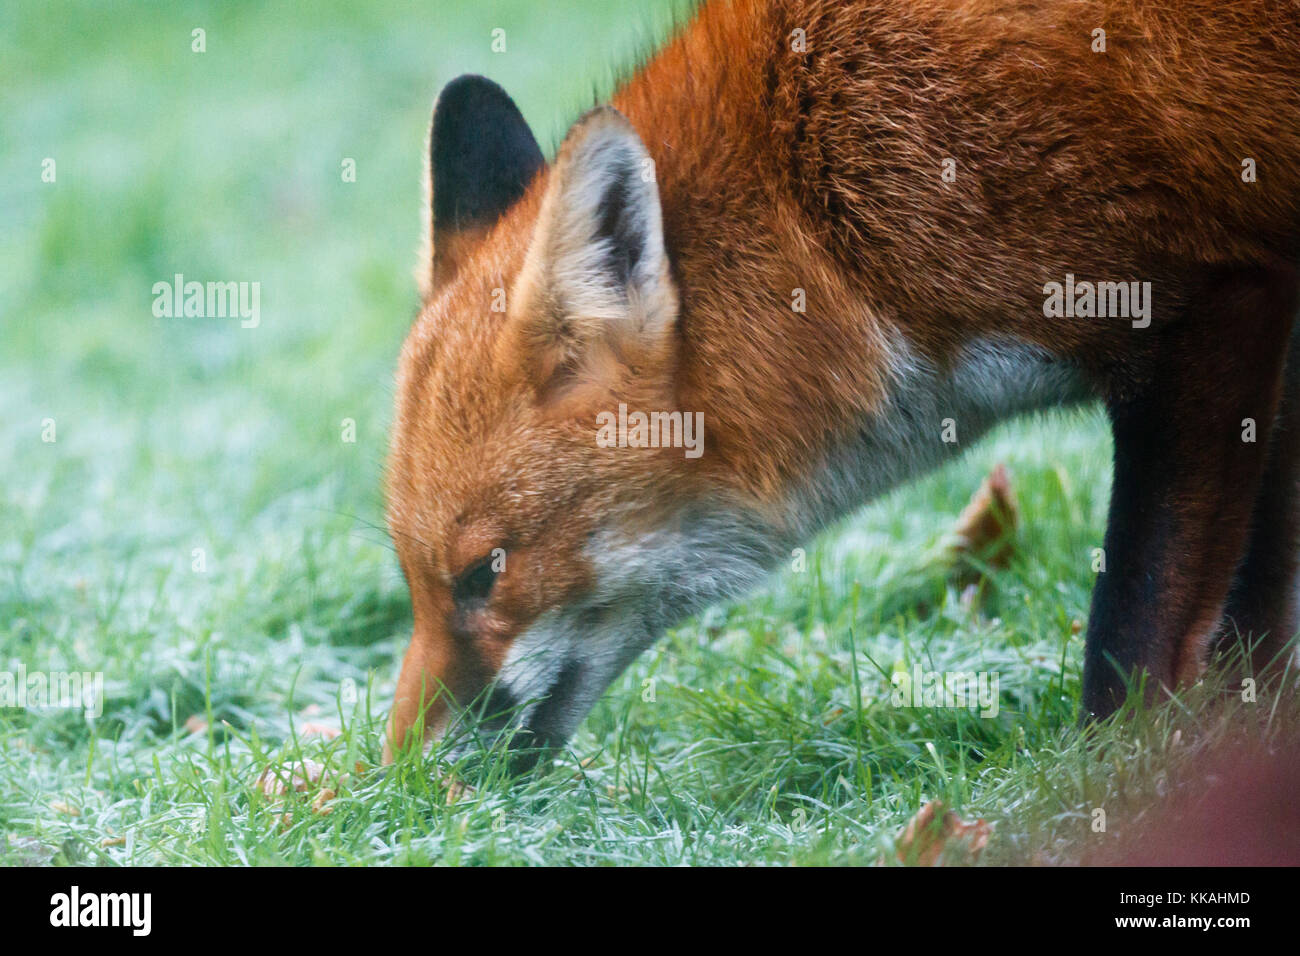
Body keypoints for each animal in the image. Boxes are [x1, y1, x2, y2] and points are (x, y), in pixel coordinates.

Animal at [379, 0, 1300, 764]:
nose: (402, 784)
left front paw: (1113, 788)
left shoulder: (1208, 307)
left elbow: (1133, 636)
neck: (823, 214)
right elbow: (1256, 613)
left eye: (484, 574)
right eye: (412, 577)